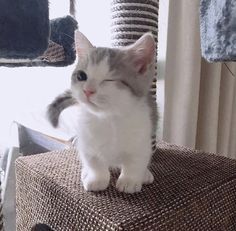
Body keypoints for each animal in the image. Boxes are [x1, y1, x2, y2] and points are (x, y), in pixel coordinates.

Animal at [47, 30, 158, 193]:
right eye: (81, 76)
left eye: (109, 80)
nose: (88, 90)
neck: (109, 119)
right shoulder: (86, 141)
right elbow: (94, 162)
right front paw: (97, 179)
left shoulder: (142, 136)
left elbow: (136, 160)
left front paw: (129, 180)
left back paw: (145, 174)